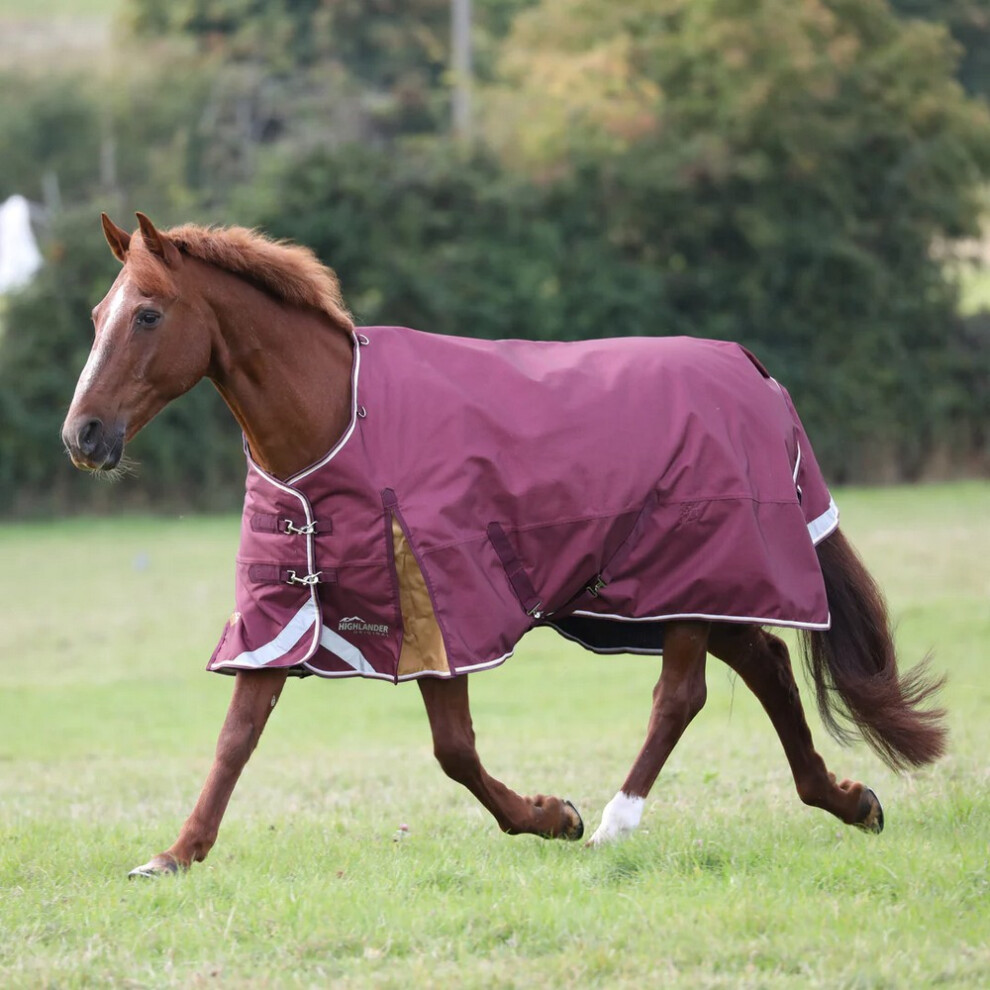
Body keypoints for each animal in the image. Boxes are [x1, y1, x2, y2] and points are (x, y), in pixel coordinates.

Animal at [60, 215, 944, 876]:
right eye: (100, 316)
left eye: (148, 313)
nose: (84, 435)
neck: (339, 425)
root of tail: (756, 376)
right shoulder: (286, 610)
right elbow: (238, 734)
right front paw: (176, 854)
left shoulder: (440, 604)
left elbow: (453, 750)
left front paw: (555, 816)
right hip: (689, 588)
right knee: (767, 665)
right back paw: (849, 801)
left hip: (688, 573)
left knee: (683, 695)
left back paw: (616, 823)